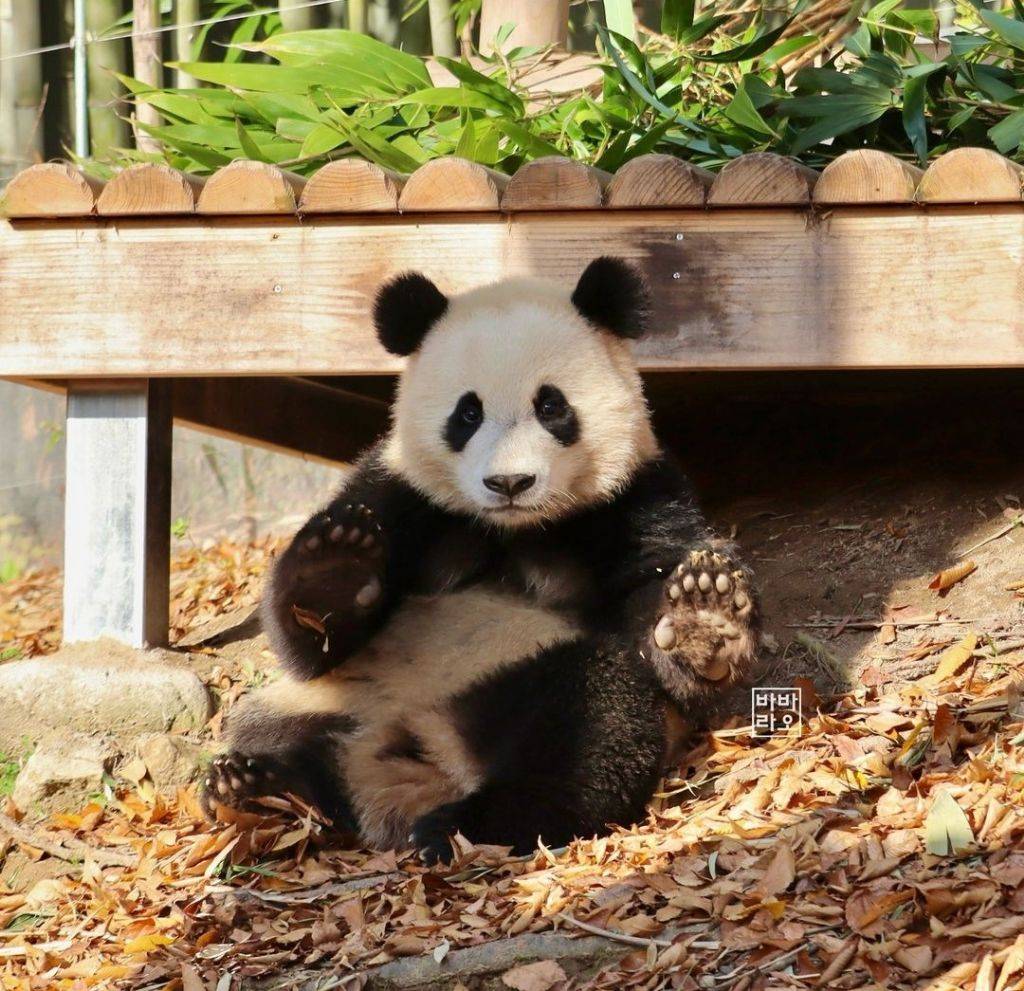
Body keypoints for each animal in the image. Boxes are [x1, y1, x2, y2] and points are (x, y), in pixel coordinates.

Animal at [201, 259, 761, 864]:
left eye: (551, 405)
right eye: (467, 413)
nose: (509, 482)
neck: (513, 528)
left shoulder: (635, 496)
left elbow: (653, 598)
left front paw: (703, 619)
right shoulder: (401, 494)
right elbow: (308, 646)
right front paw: (333, 572)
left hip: (524, 670)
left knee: (591, 728)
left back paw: (464, 822)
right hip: (331, 699)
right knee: (273, 731)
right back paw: (261, 791)